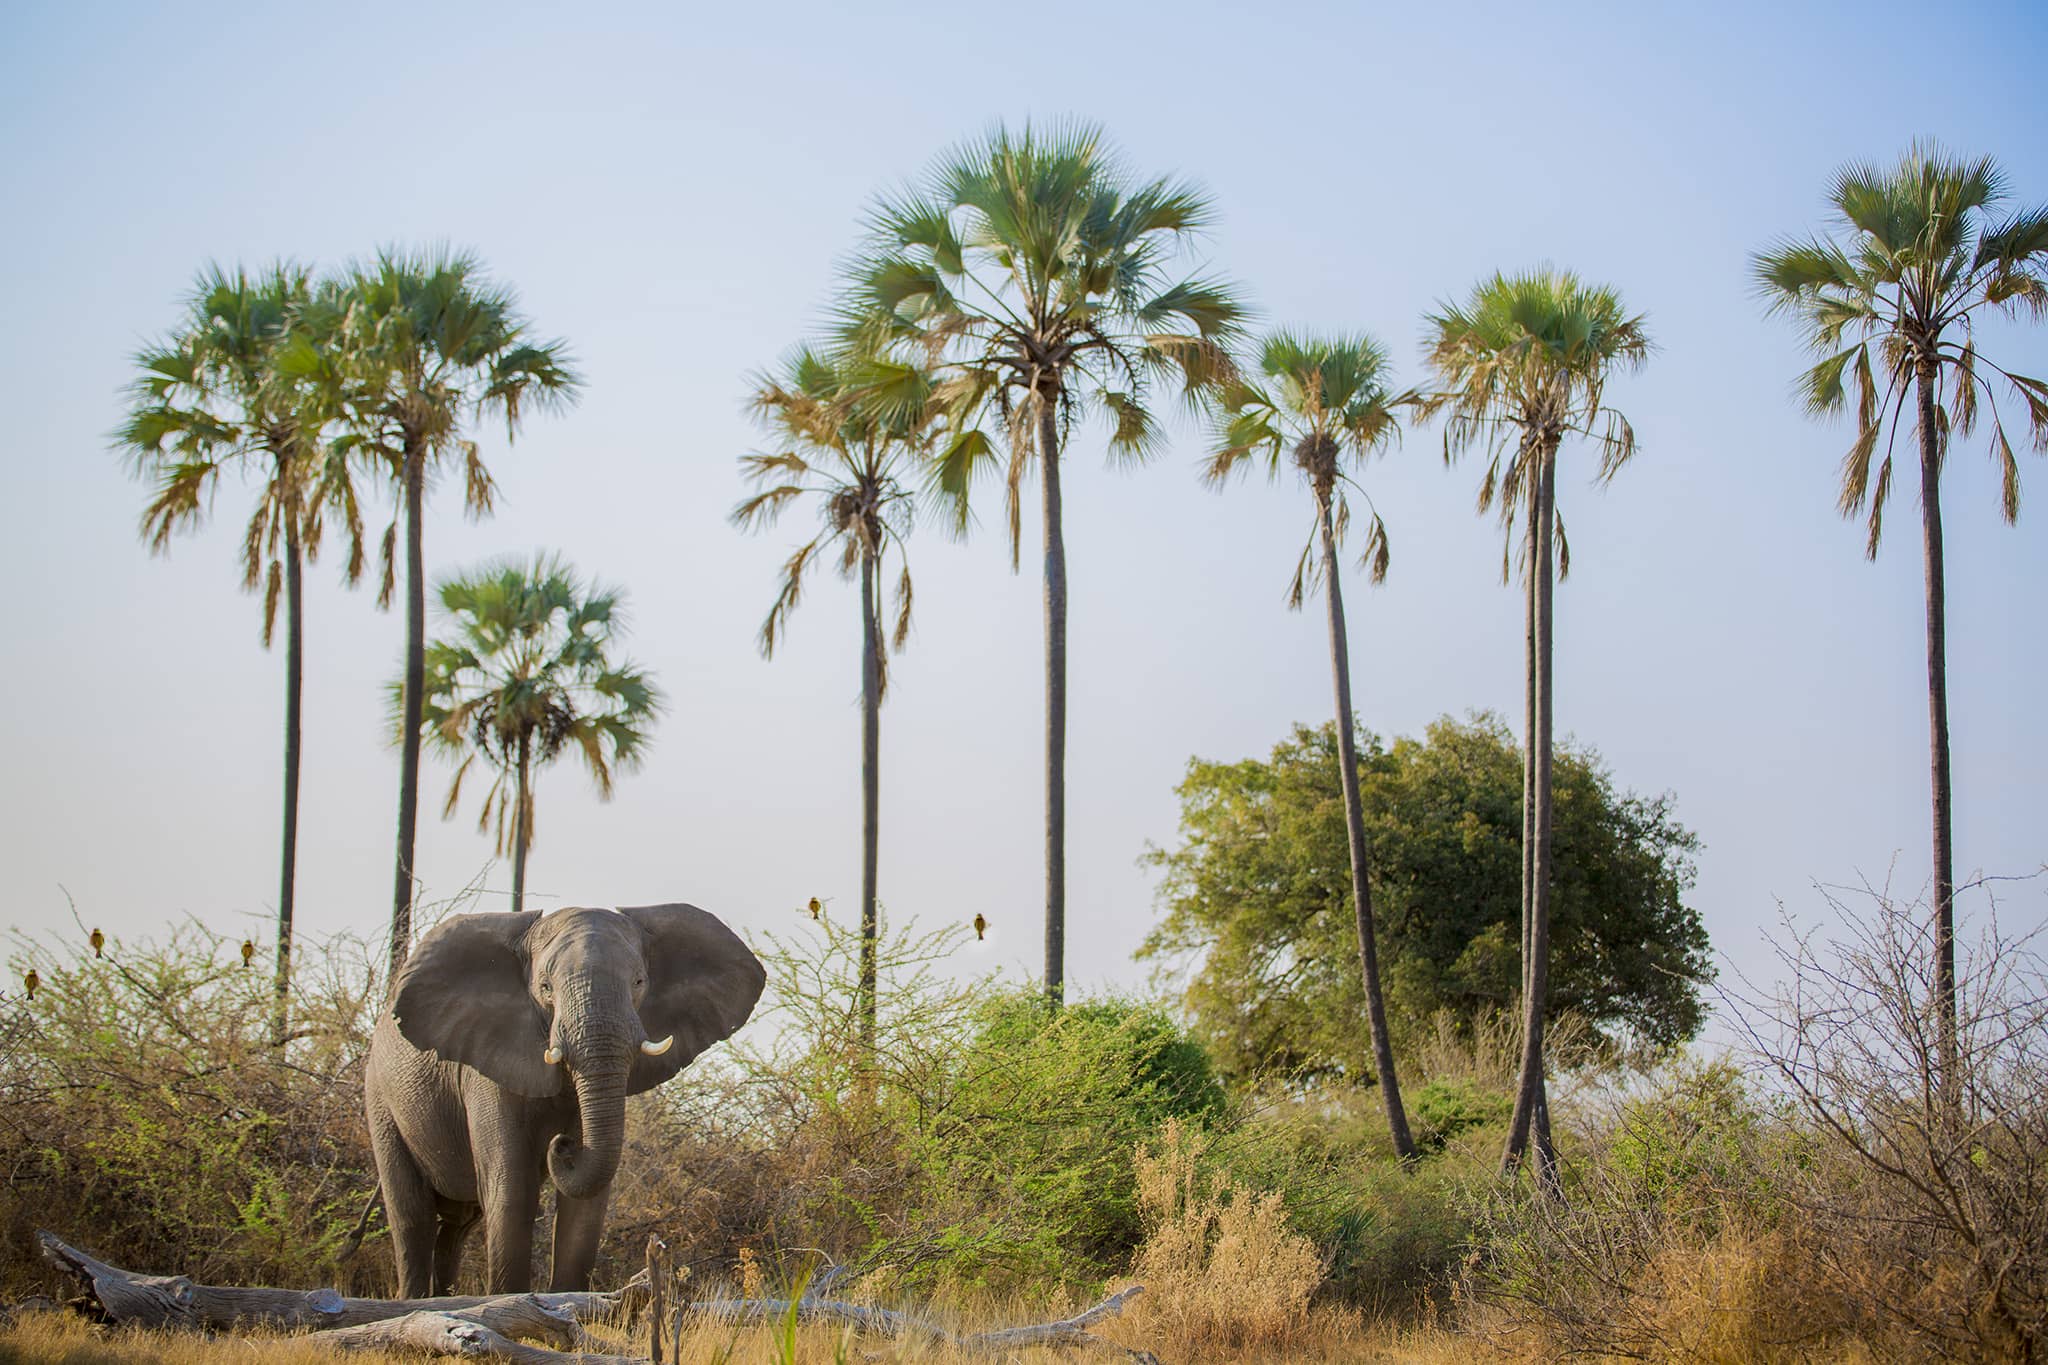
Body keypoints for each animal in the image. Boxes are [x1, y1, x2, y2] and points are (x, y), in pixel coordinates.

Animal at [364, 900, 765, 1301]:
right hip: (380, 1101)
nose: (563, 1144)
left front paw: (566, 1301)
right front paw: (510, 1299)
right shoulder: (485, 1069)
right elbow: (511, 1188)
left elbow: (586, 1203)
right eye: (545, 987)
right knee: (411, 1216)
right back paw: (416, 1300)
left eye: (638, 982)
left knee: (457, 1225)